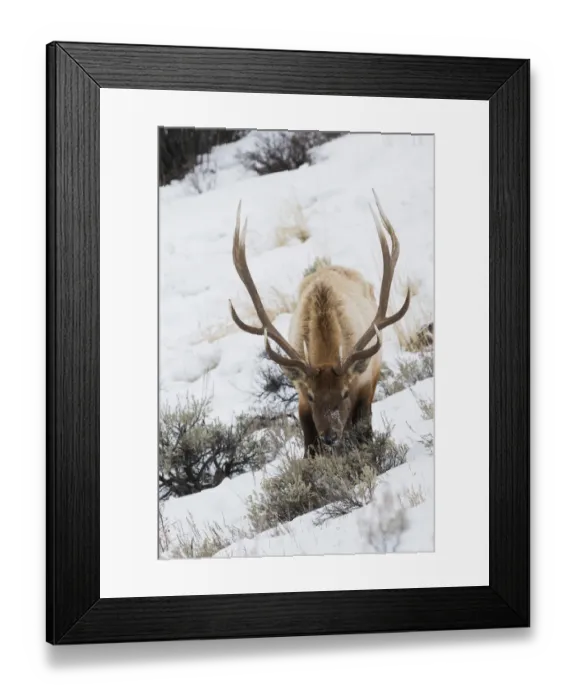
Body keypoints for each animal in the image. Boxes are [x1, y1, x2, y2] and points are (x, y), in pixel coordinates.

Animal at [228, 190, 411, 458]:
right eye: (313, 395)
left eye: (344, 393)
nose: (330, 436)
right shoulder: (301, 396)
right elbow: (309, 451)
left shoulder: (364, 388)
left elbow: (364, 437)